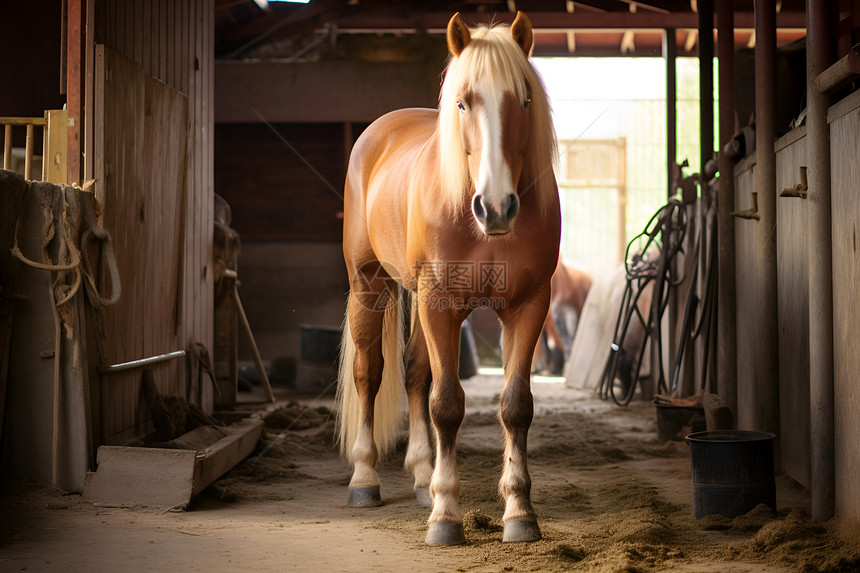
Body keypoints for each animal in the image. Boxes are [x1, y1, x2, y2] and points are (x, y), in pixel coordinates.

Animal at [332, 11, 560, 544]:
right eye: (462, 101)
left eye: (524, 99)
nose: (495, 207)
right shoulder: (440, 304)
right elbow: (447, 404)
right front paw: (446, 518)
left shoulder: (528, 304)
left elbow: (515, 405)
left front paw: (519, 513)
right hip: (369, 286)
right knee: (370, 373)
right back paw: (365, 480)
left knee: (415, 371)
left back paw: (421, 478)